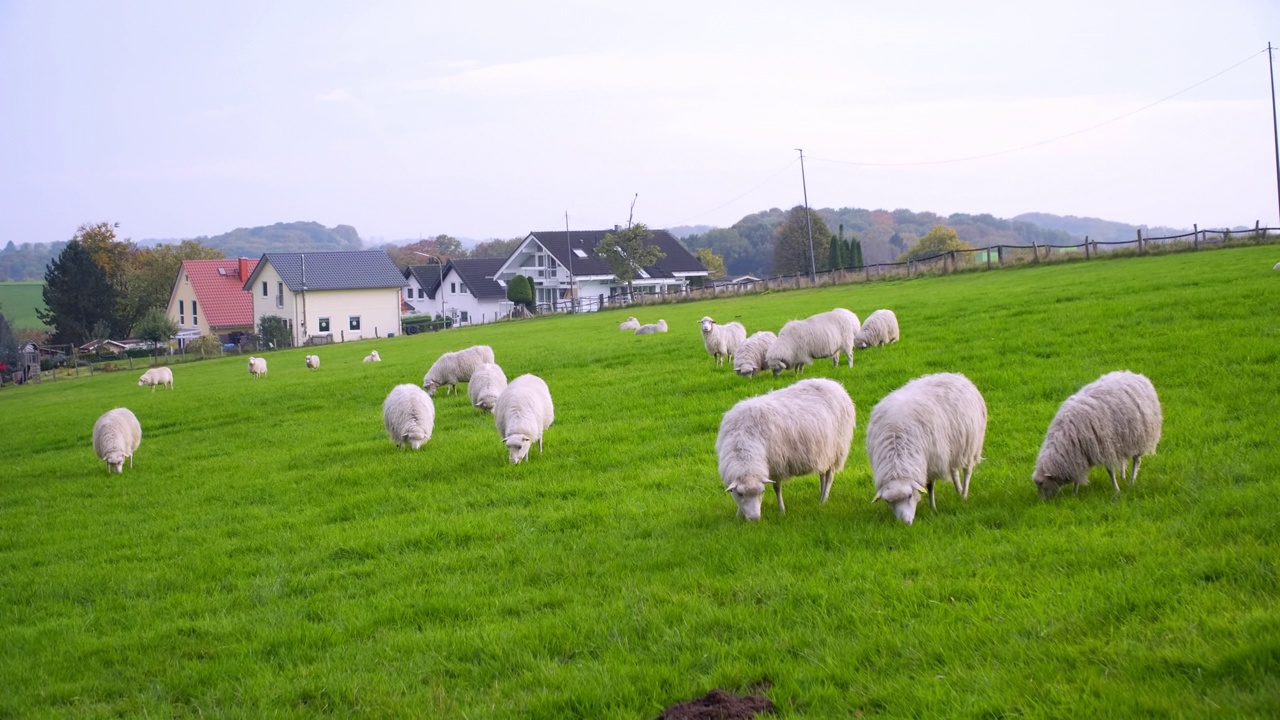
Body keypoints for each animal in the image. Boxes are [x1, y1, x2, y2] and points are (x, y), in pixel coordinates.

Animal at [716, 371, 855, 517]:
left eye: (762, 492)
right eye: (740, 494)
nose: (755, 518)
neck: (743, 439)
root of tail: (835, 384)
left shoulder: (777, 464)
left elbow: (777, 488)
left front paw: (781, 510)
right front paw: (738, 515)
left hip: (837, 449)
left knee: (829, 476)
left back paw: (823, 500)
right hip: (824, 452)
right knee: (822, 473)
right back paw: (821, 495)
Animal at [870, 371, 988, 525]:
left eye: (909, 496)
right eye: (889, 502)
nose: (905, 523)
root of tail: (955, 375)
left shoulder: (932, 461)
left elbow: (930, 486)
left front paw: (933, 508)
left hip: (969, 445)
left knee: (967, 471)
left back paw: (963, 495)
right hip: (952, 448)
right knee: (954, 471)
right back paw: (958, 490)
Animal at [1029, 366, 1162, 497]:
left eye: (1041, 484)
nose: (1043, 501)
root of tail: (1136, 375)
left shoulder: (1105, 447)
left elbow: (1109, 470)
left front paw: (1116, 490)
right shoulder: (1082, 454)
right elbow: (1079, 472)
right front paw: (1075, 492)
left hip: (1141, 437)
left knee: (1136, 460)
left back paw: (1131, 482)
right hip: (1125, 439)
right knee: (1123, 458)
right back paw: (1123, 475)